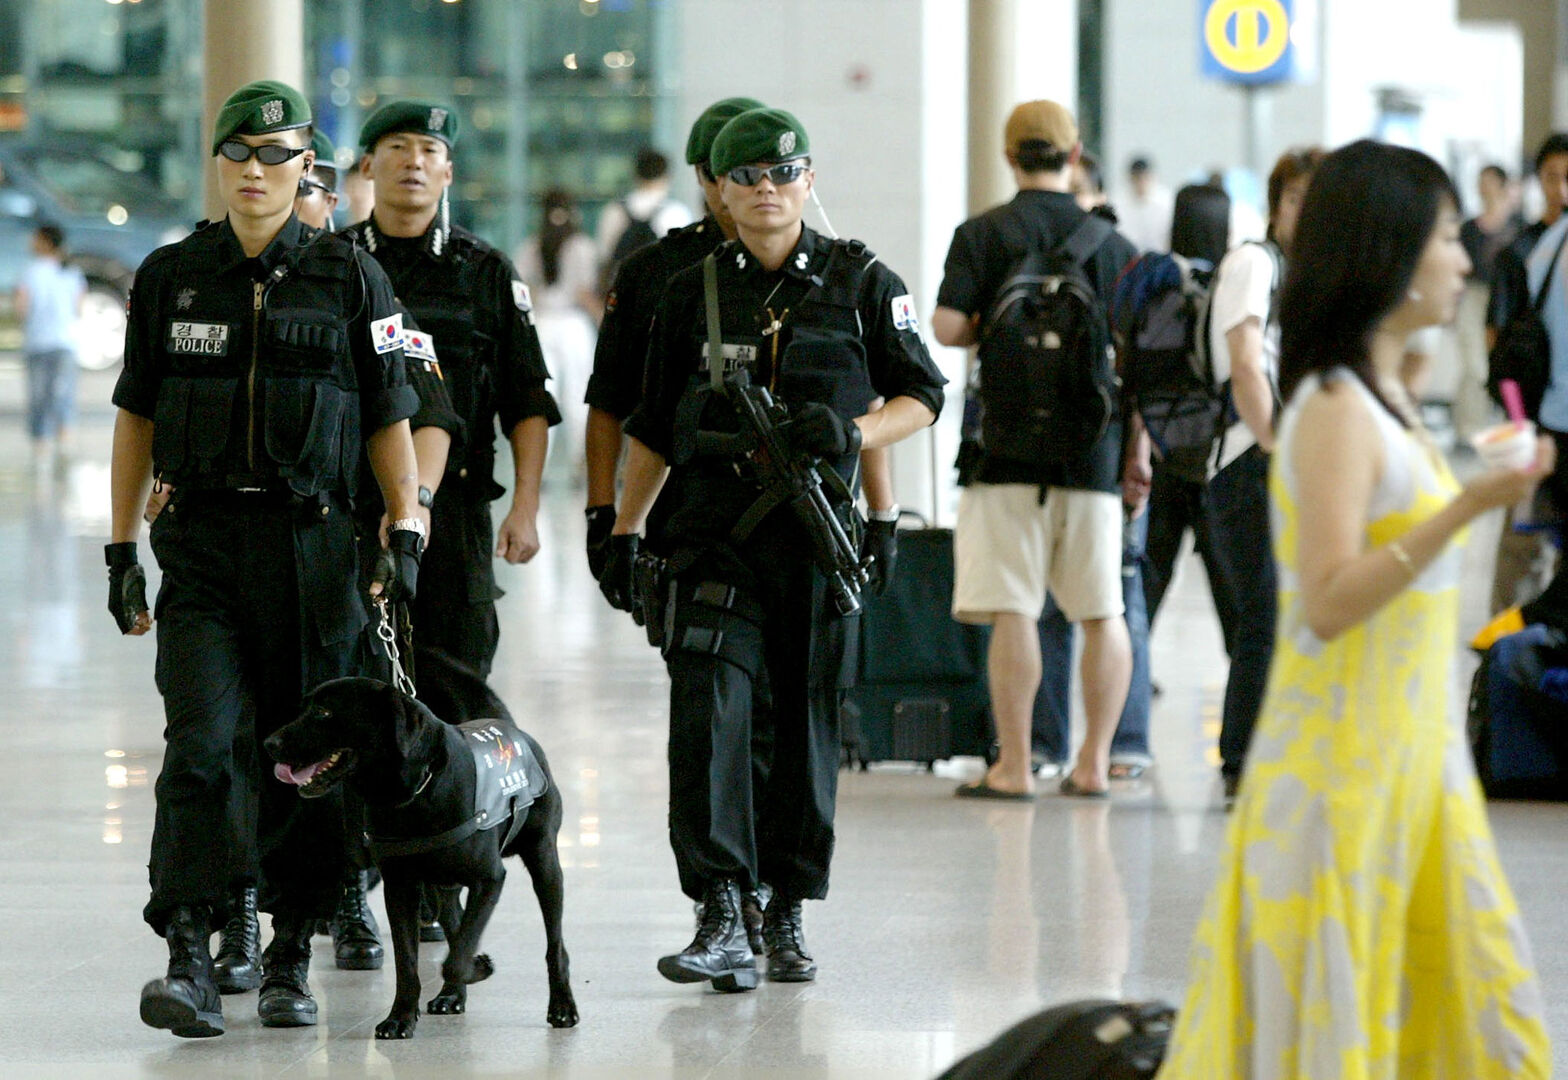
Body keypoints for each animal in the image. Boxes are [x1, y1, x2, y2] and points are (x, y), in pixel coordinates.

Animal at [263, 648, 583, 1034]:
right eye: (304, 708)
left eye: (324, 712)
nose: (269, 744)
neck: (414, 793)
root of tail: (512, 729)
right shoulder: (400, 887)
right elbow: (409, 960)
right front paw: (400, 1016)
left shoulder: (490, 879)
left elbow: (457, 955)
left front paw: (475, 968)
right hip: (440, 888)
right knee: (455, 923)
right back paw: (452, 995)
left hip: (544, 861)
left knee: (554, 943)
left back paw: (562, 1004)